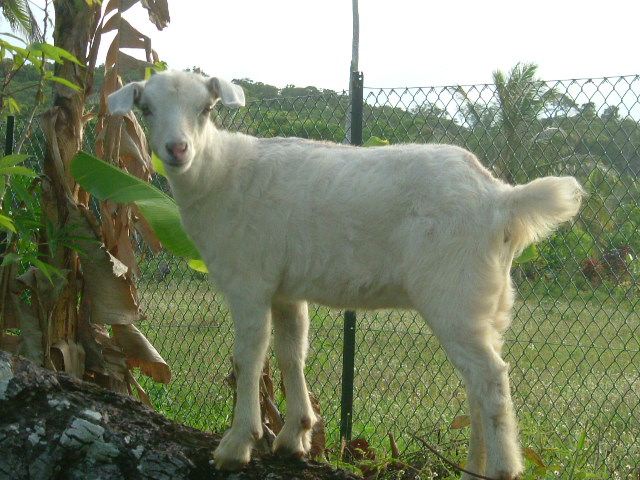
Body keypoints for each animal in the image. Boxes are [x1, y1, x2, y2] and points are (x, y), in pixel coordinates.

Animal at [109, 71, 584, 480]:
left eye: (206, 109)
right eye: (146, 108)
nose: (177, 149)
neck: (220, 174)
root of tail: (500, 198)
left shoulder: (248, 279)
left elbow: (248, 358)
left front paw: (236, 445)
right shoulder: (284, 288)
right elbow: (290, 353)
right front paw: (294, 436)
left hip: (453, 289)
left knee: (491, 376)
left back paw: (502, 469)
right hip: (488, 299)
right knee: (476, 381)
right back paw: (473, 468)